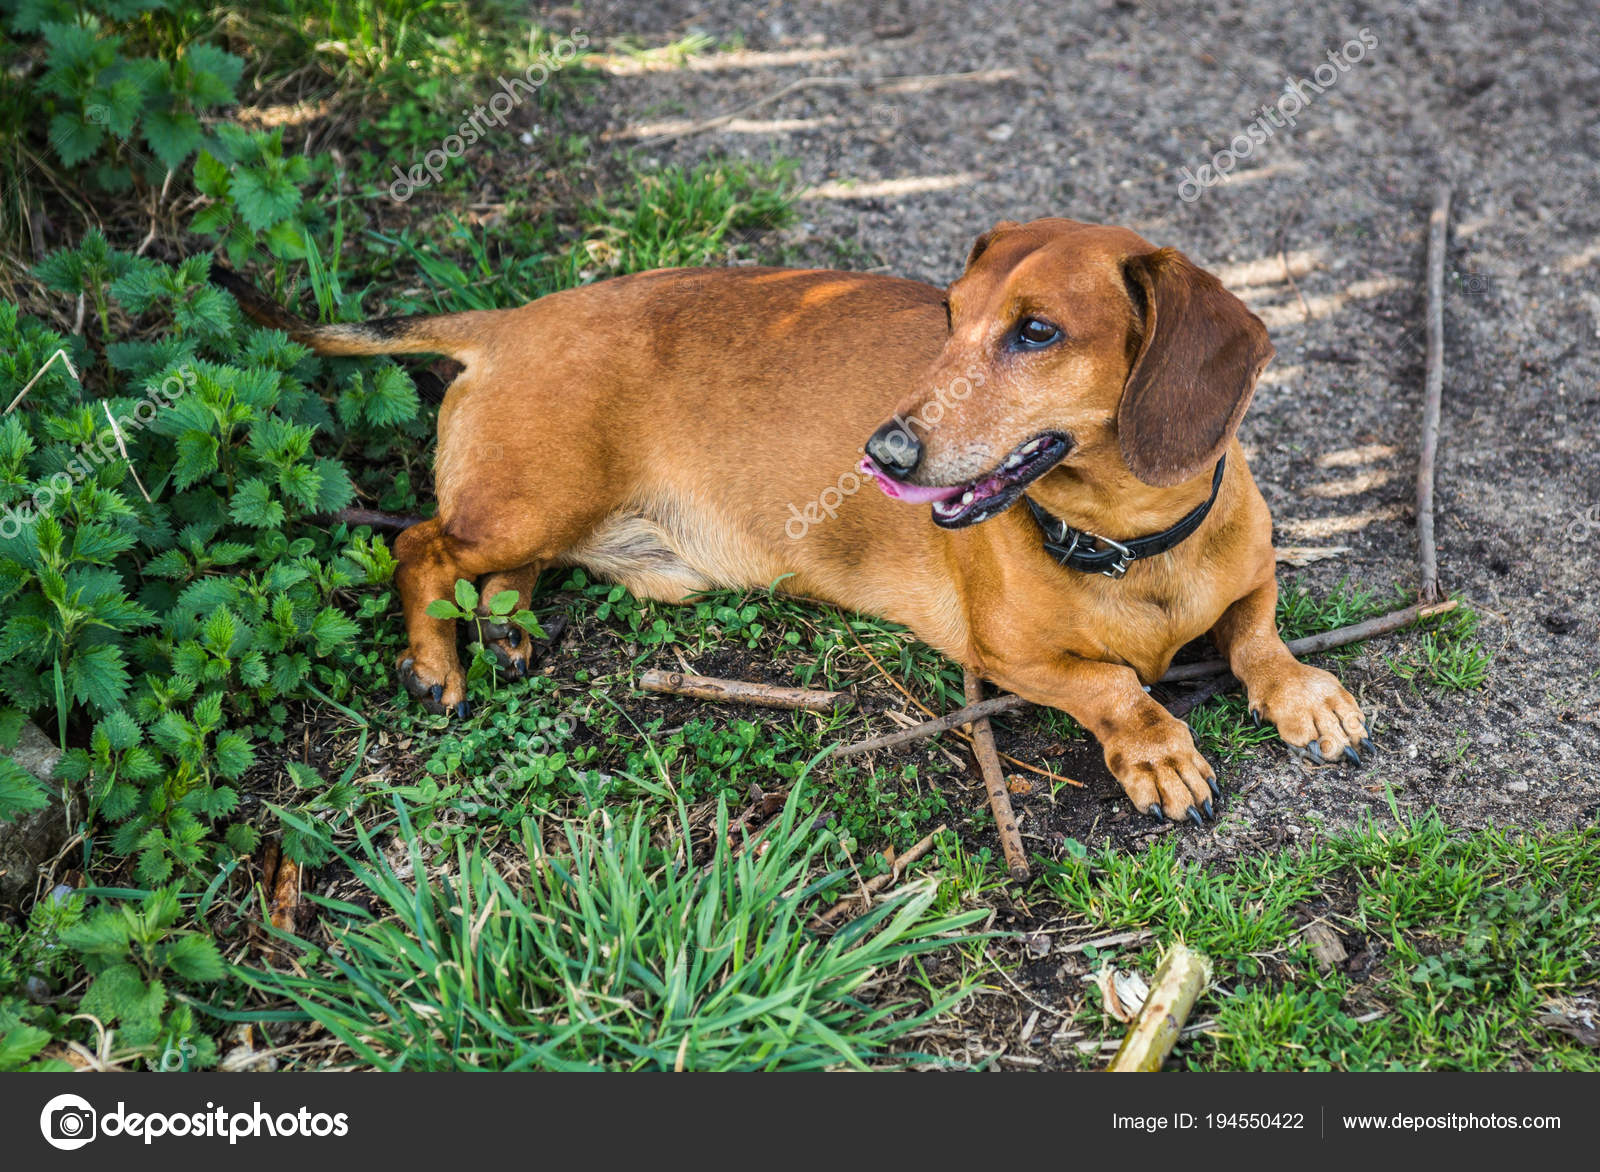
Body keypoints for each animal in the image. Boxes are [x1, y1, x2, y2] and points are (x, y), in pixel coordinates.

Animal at [228, 219, 1376, 826]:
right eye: (949, 318)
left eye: (1038, 332)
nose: (886, 453)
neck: (1132, 550)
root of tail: (509, 322)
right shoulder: (1005, 654)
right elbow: (1110, 687)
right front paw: (1158, 750)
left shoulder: (1250, 581)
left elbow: (1258, 635)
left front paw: (1302, 692)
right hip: (530, 500)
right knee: (417, 544)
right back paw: (436, 661)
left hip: (556, 524)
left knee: (499, 570)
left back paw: (505, 631)